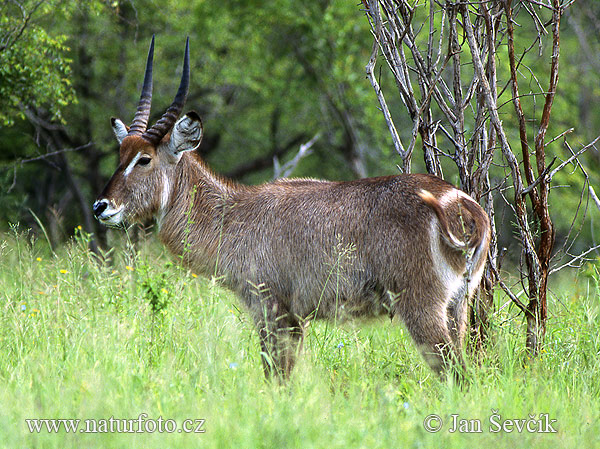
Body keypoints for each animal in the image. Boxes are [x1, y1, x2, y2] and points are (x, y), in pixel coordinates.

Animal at [91, 38, 490, 380]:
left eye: (144, 159)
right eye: (120, 154)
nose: (100, 206)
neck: (233, 215)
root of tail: (459, 201)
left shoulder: (272, 310)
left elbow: (276, 378)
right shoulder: (294, 318)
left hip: (422, 308)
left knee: (456, 375)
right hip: (458, 308)